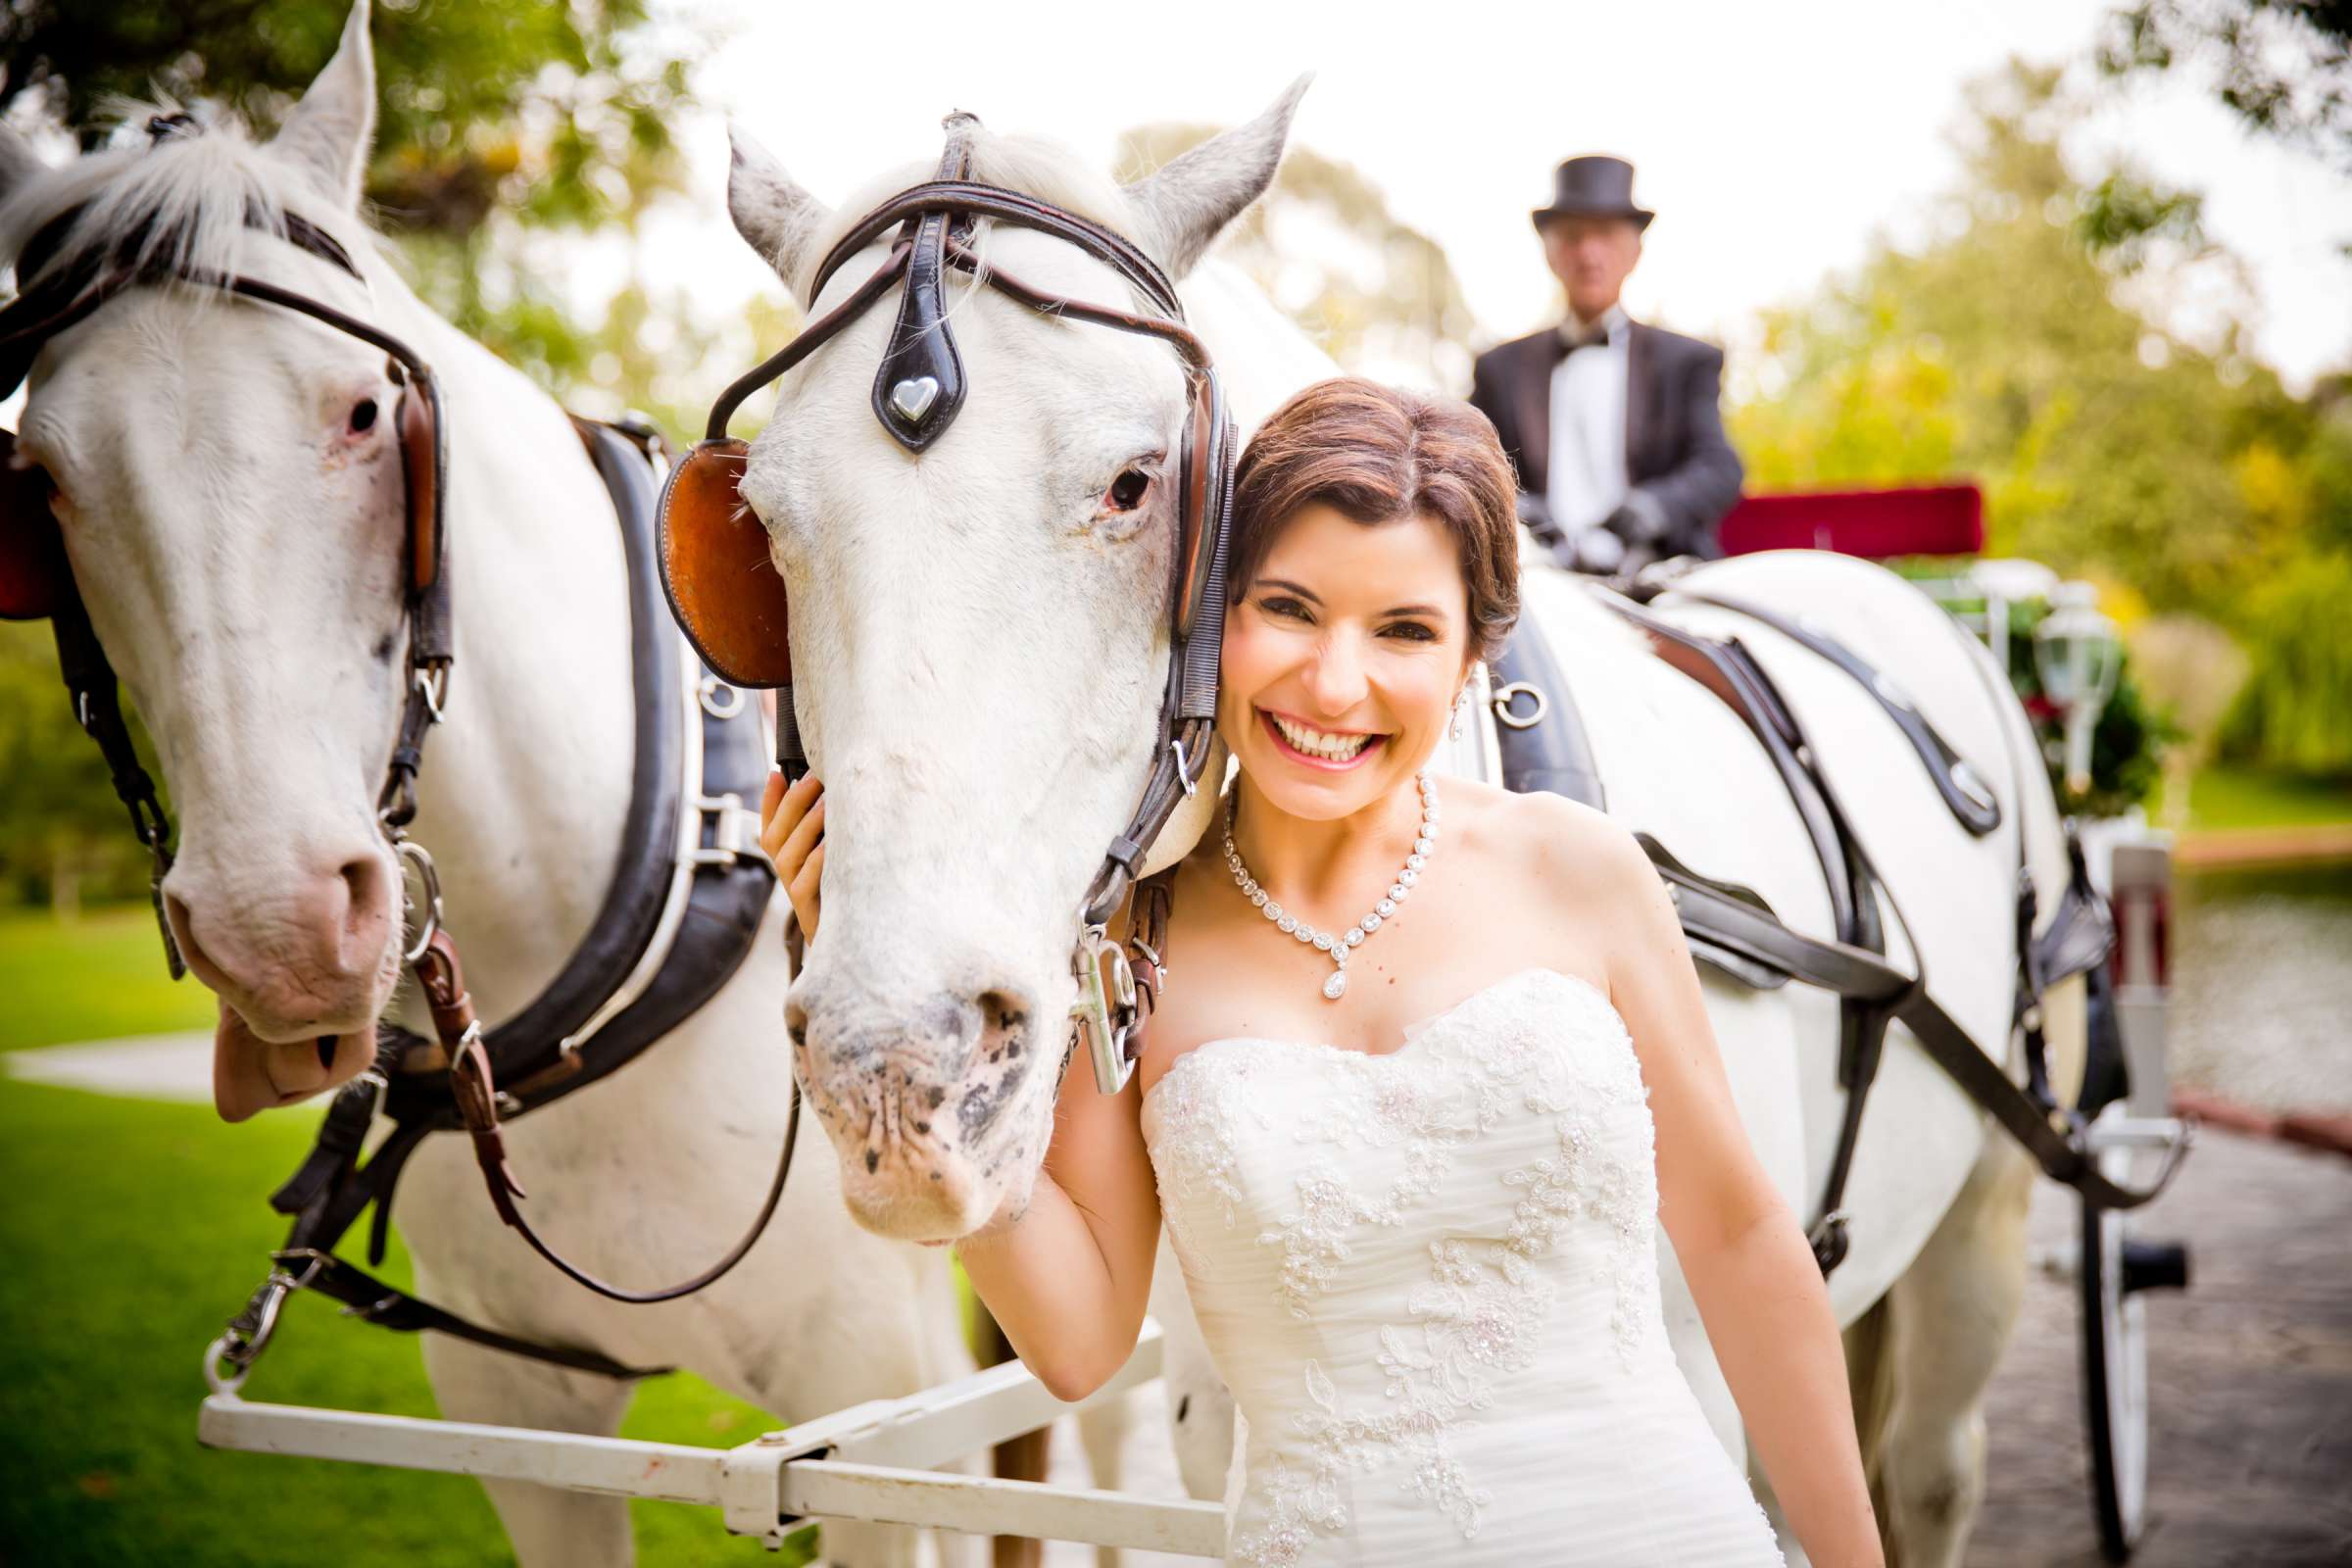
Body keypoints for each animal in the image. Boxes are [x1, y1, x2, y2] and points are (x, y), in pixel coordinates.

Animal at [724, 88, 2088, 1568]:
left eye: (1138, 482)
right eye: (759, 521)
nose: (895, 1076)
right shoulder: (1215, 1420)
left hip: (1979, 1229)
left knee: (1929, 1464)